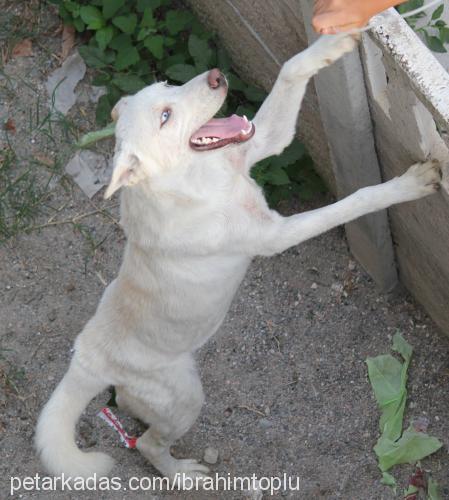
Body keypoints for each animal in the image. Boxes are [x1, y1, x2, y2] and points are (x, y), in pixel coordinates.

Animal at [36, 33, 440, 482]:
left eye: (167, 86)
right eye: (165, 117)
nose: (216, 76)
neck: (197, 178)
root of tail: (86, 358)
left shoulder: (262, 139)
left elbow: (291, 70)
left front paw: (335, 41)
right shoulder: (276, 234)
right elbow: (356, 200)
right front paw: (409, 185)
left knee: (129, 411)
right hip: (184, 397)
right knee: (148, 444)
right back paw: (182, 474)